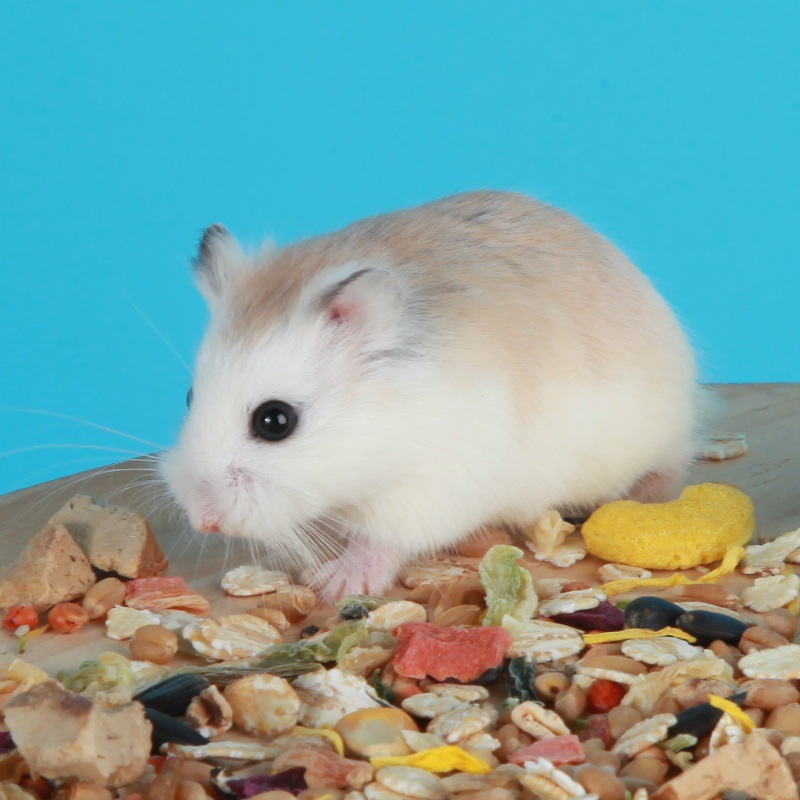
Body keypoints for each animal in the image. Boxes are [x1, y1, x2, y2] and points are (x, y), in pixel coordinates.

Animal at [161, 190, 708, 601]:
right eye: (189, 397)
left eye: (275, 421)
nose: (203, 521)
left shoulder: (427, 490)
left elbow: (381, 539)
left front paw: (335, 584)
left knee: (670, 463)